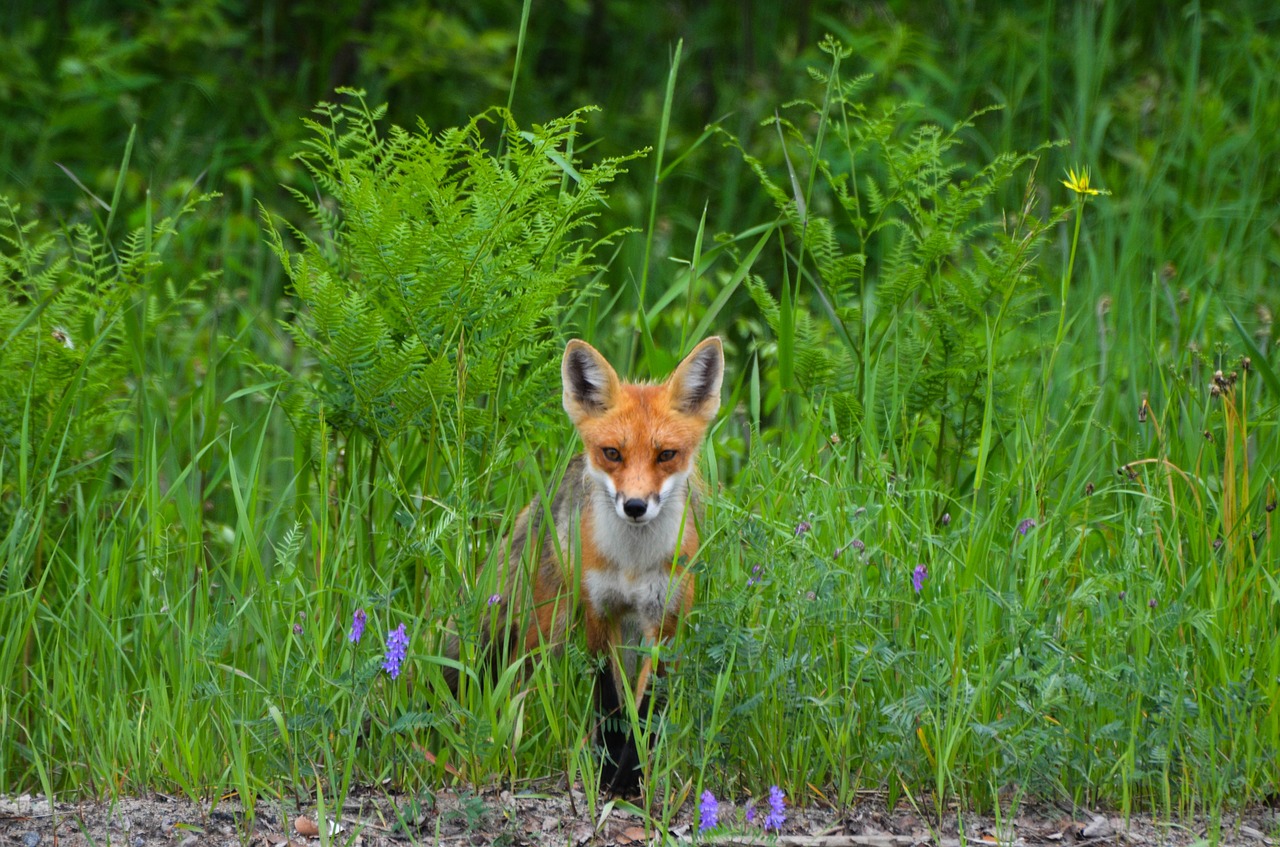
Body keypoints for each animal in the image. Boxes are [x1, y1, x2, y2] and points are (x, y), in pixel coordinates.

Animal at [463, 337, 727, 798]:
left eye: (666, 455)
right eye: (612, 454)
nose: (635, 506)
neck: (632, 565)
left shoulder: (664, 622)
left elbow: (646, 709)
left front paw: (630, 779)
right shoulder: (599, 613)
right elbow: (610, 705)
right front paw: (607, 776)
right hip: (543, 630)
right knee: (509, 683)